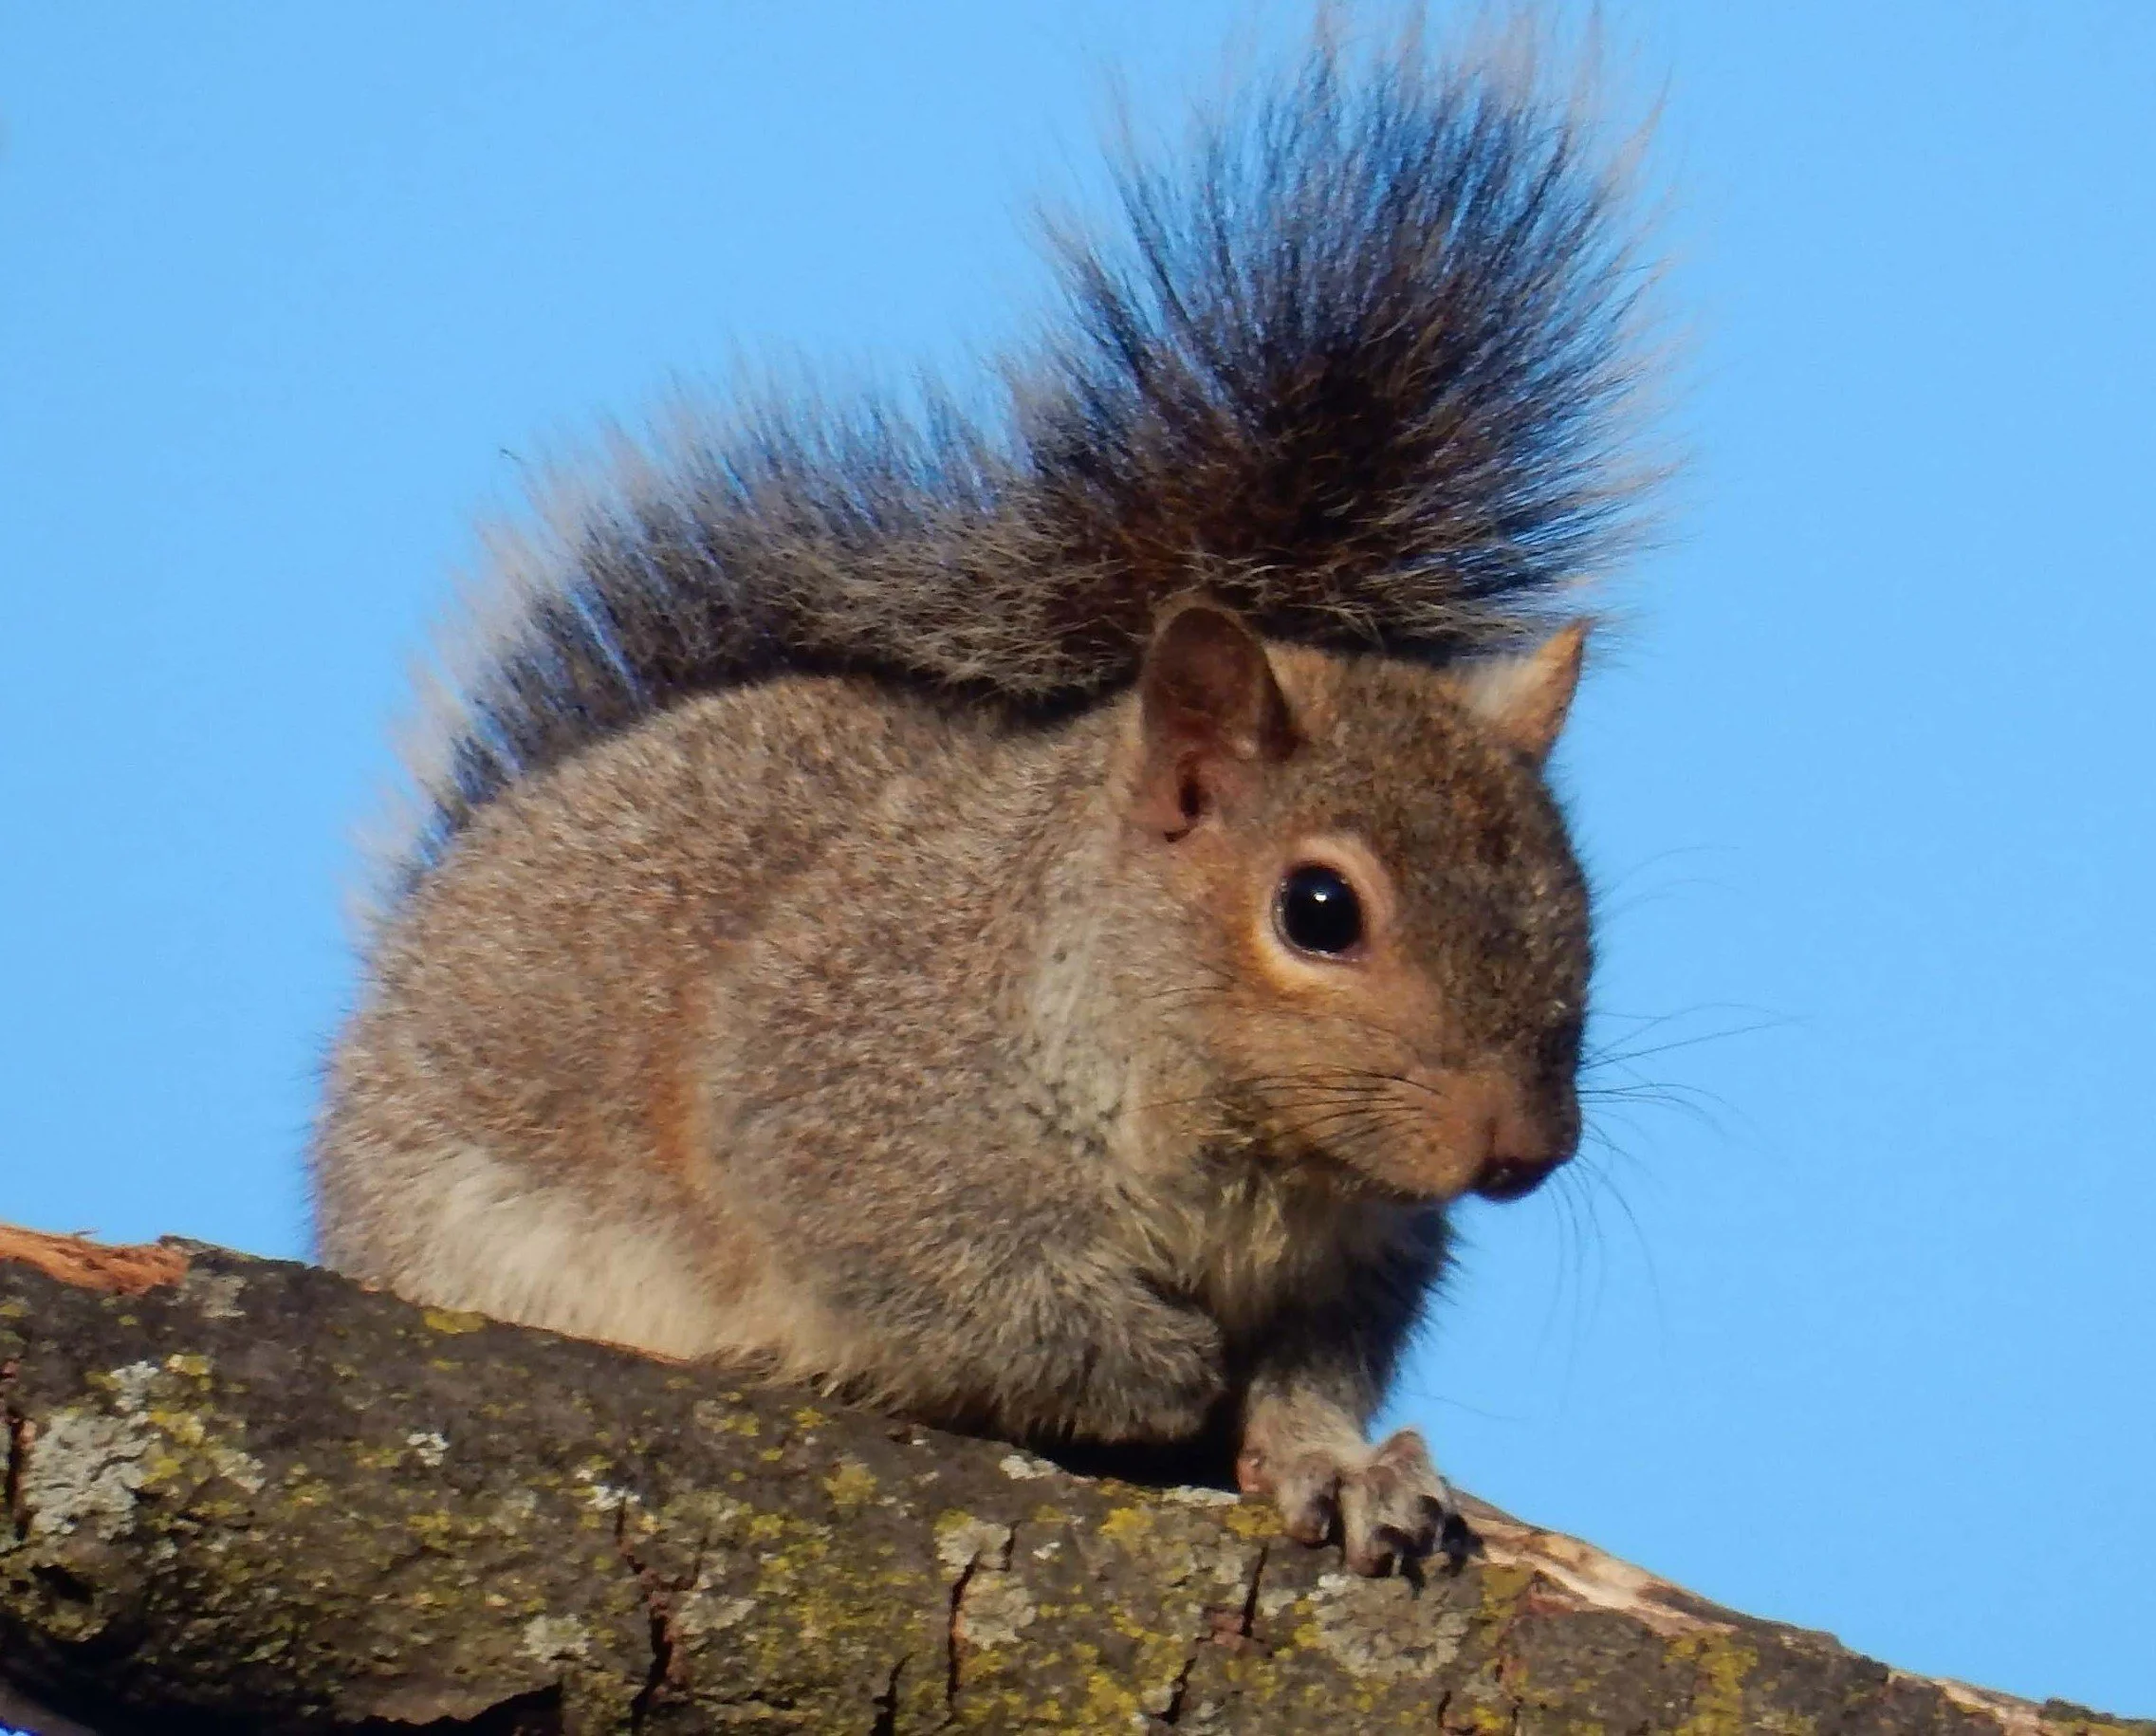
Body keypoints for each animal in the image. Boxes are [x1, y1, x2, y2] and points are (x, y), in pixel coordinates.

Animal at [314, 31, 1656, 1577]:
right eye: (1319, 910)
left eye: (1576, 896)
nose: (1523, 1150)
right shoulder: (845, 1113)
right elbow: (949, 1284)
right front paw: (1157, 1366)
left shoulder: (1364, 1258)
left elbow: (1315, 1372)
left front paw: (1345, 1465)